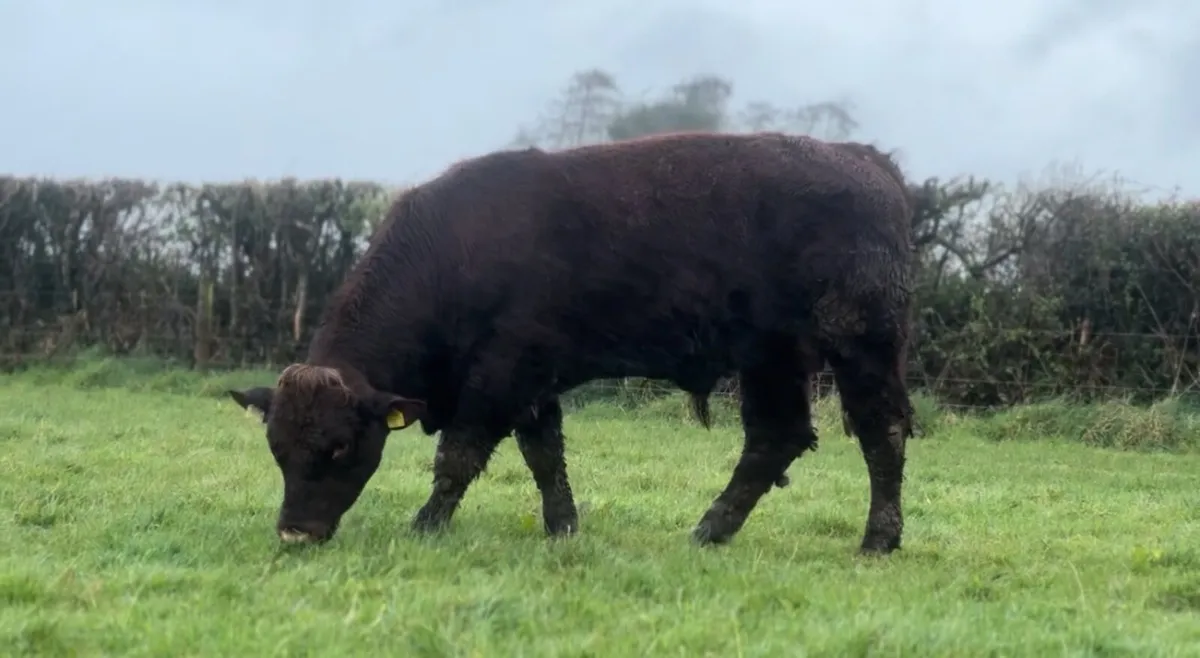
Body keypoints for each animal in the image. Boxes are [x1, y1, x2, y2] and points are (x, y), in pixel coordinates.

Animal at [227, 130, 916, 555]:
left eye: (341, 447)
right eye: (276, 449)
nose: (295, 533)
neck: (456, 249)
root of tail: (864, 159)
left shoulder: (501, 375)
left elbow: (460, 456)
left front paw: (425, 524)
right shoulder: (533, 385)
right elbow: (544, 457)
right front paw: (563, 528)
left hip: (861, 345)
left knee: (881, 433)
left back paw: (877, 540)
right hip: (771, 358)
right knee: (774, 440)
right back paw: (708, 531)